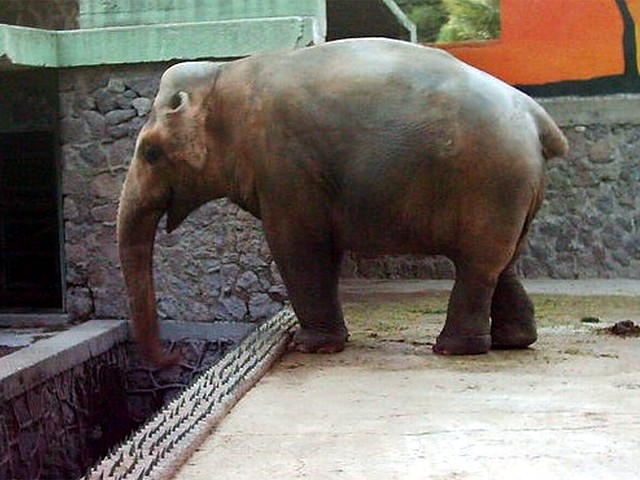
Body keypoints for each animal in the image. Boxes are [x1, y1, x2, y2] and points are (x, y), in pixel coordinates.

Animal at [117, 38, 568, 366]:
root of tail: (536, 118)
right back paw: (514, 341)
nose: (174, 358)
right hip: (514, 191)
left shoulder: (284, 164)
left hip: (491, 183)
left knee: (477, 266)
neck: (222, 76)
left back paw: (452, 349)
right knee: (502, 263)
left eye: (150, 152)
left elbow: (297, 247)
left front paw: (308, 345)